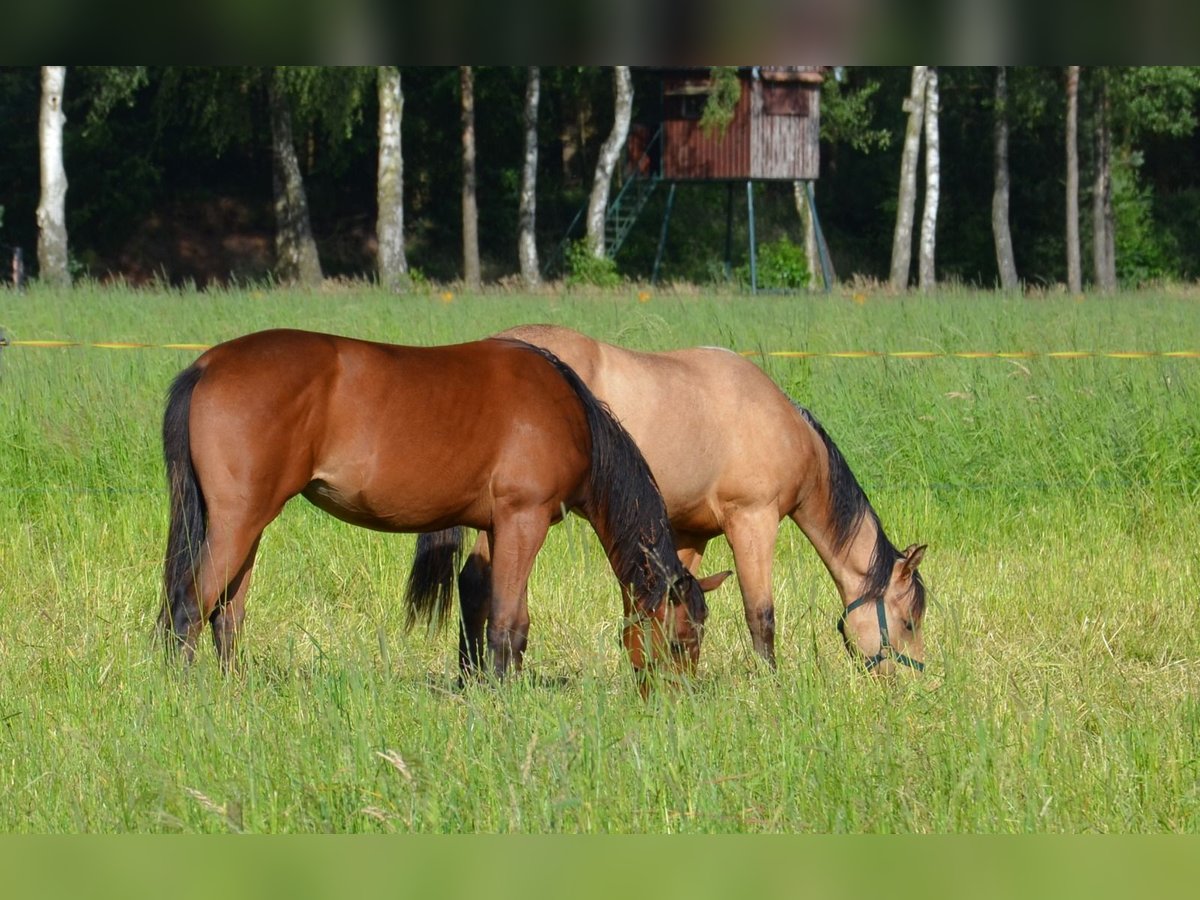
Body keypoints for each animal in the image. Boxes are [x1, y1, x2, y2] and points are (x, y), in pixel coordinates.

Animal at [154, 328, 724, 686]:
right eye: (681, 641)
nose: (674, 699)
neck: (569, 413)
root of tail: (208, 364)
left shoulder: (499, 526)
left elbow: (496, 612)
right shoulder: (525, 520)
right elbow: (507, 622)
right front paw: (501, 696)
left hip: (248, 524)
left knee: (227, 614)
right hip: (238, 521)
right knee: (189, 606)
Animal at [441, 326, 926, 676]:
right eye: (909, 621)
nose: (910, 681)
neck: (785, 428)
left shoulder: (692, 533)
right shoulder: (753, 520)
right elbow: (761, 613)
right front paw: (770, 683)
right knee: (480, 584)